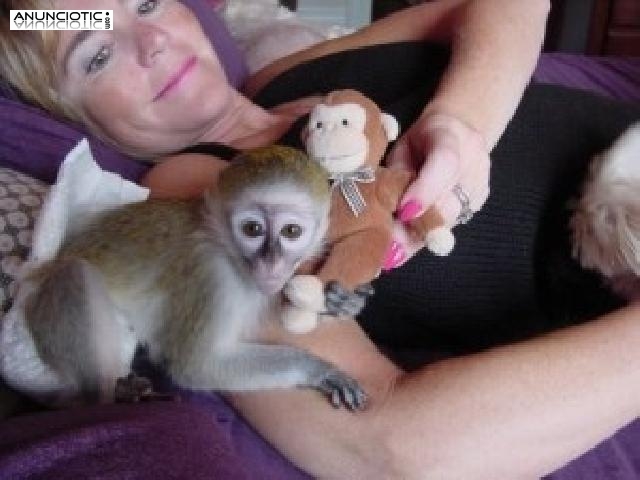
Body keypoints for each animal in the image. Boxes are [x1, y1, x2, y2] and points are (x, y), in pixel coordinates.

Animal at [0, 146, 367, 411]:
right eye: (252, 229)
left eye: (291, 232)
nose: (271, 263)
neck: (223, 245)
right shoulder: (212, 278)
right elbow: (198, 366)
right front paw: (317, 368)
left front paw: (339, 303)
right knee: (75, 275)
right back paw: (102, 396)